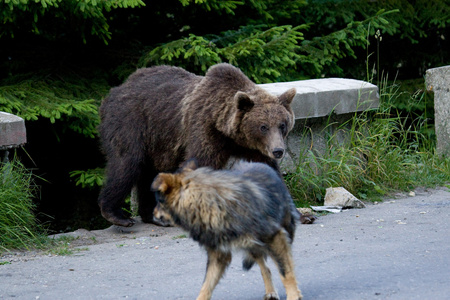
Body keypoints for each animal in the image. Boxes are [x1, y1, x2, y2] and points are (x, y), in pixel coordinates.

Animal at [97, 63, 296, 227]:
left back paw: (153, 217)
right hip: (131, 122)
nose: (278, 151)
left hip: (155, 139)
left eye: (282, 124)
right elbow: (199, 162)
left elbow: (268, 169)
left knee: (149, 172)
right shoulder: (204, 130)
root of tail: (113, 92)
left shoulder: (250, 146)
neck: (225, 129)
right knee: (128, 163)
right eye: (263, 126)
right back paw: (116, 215)